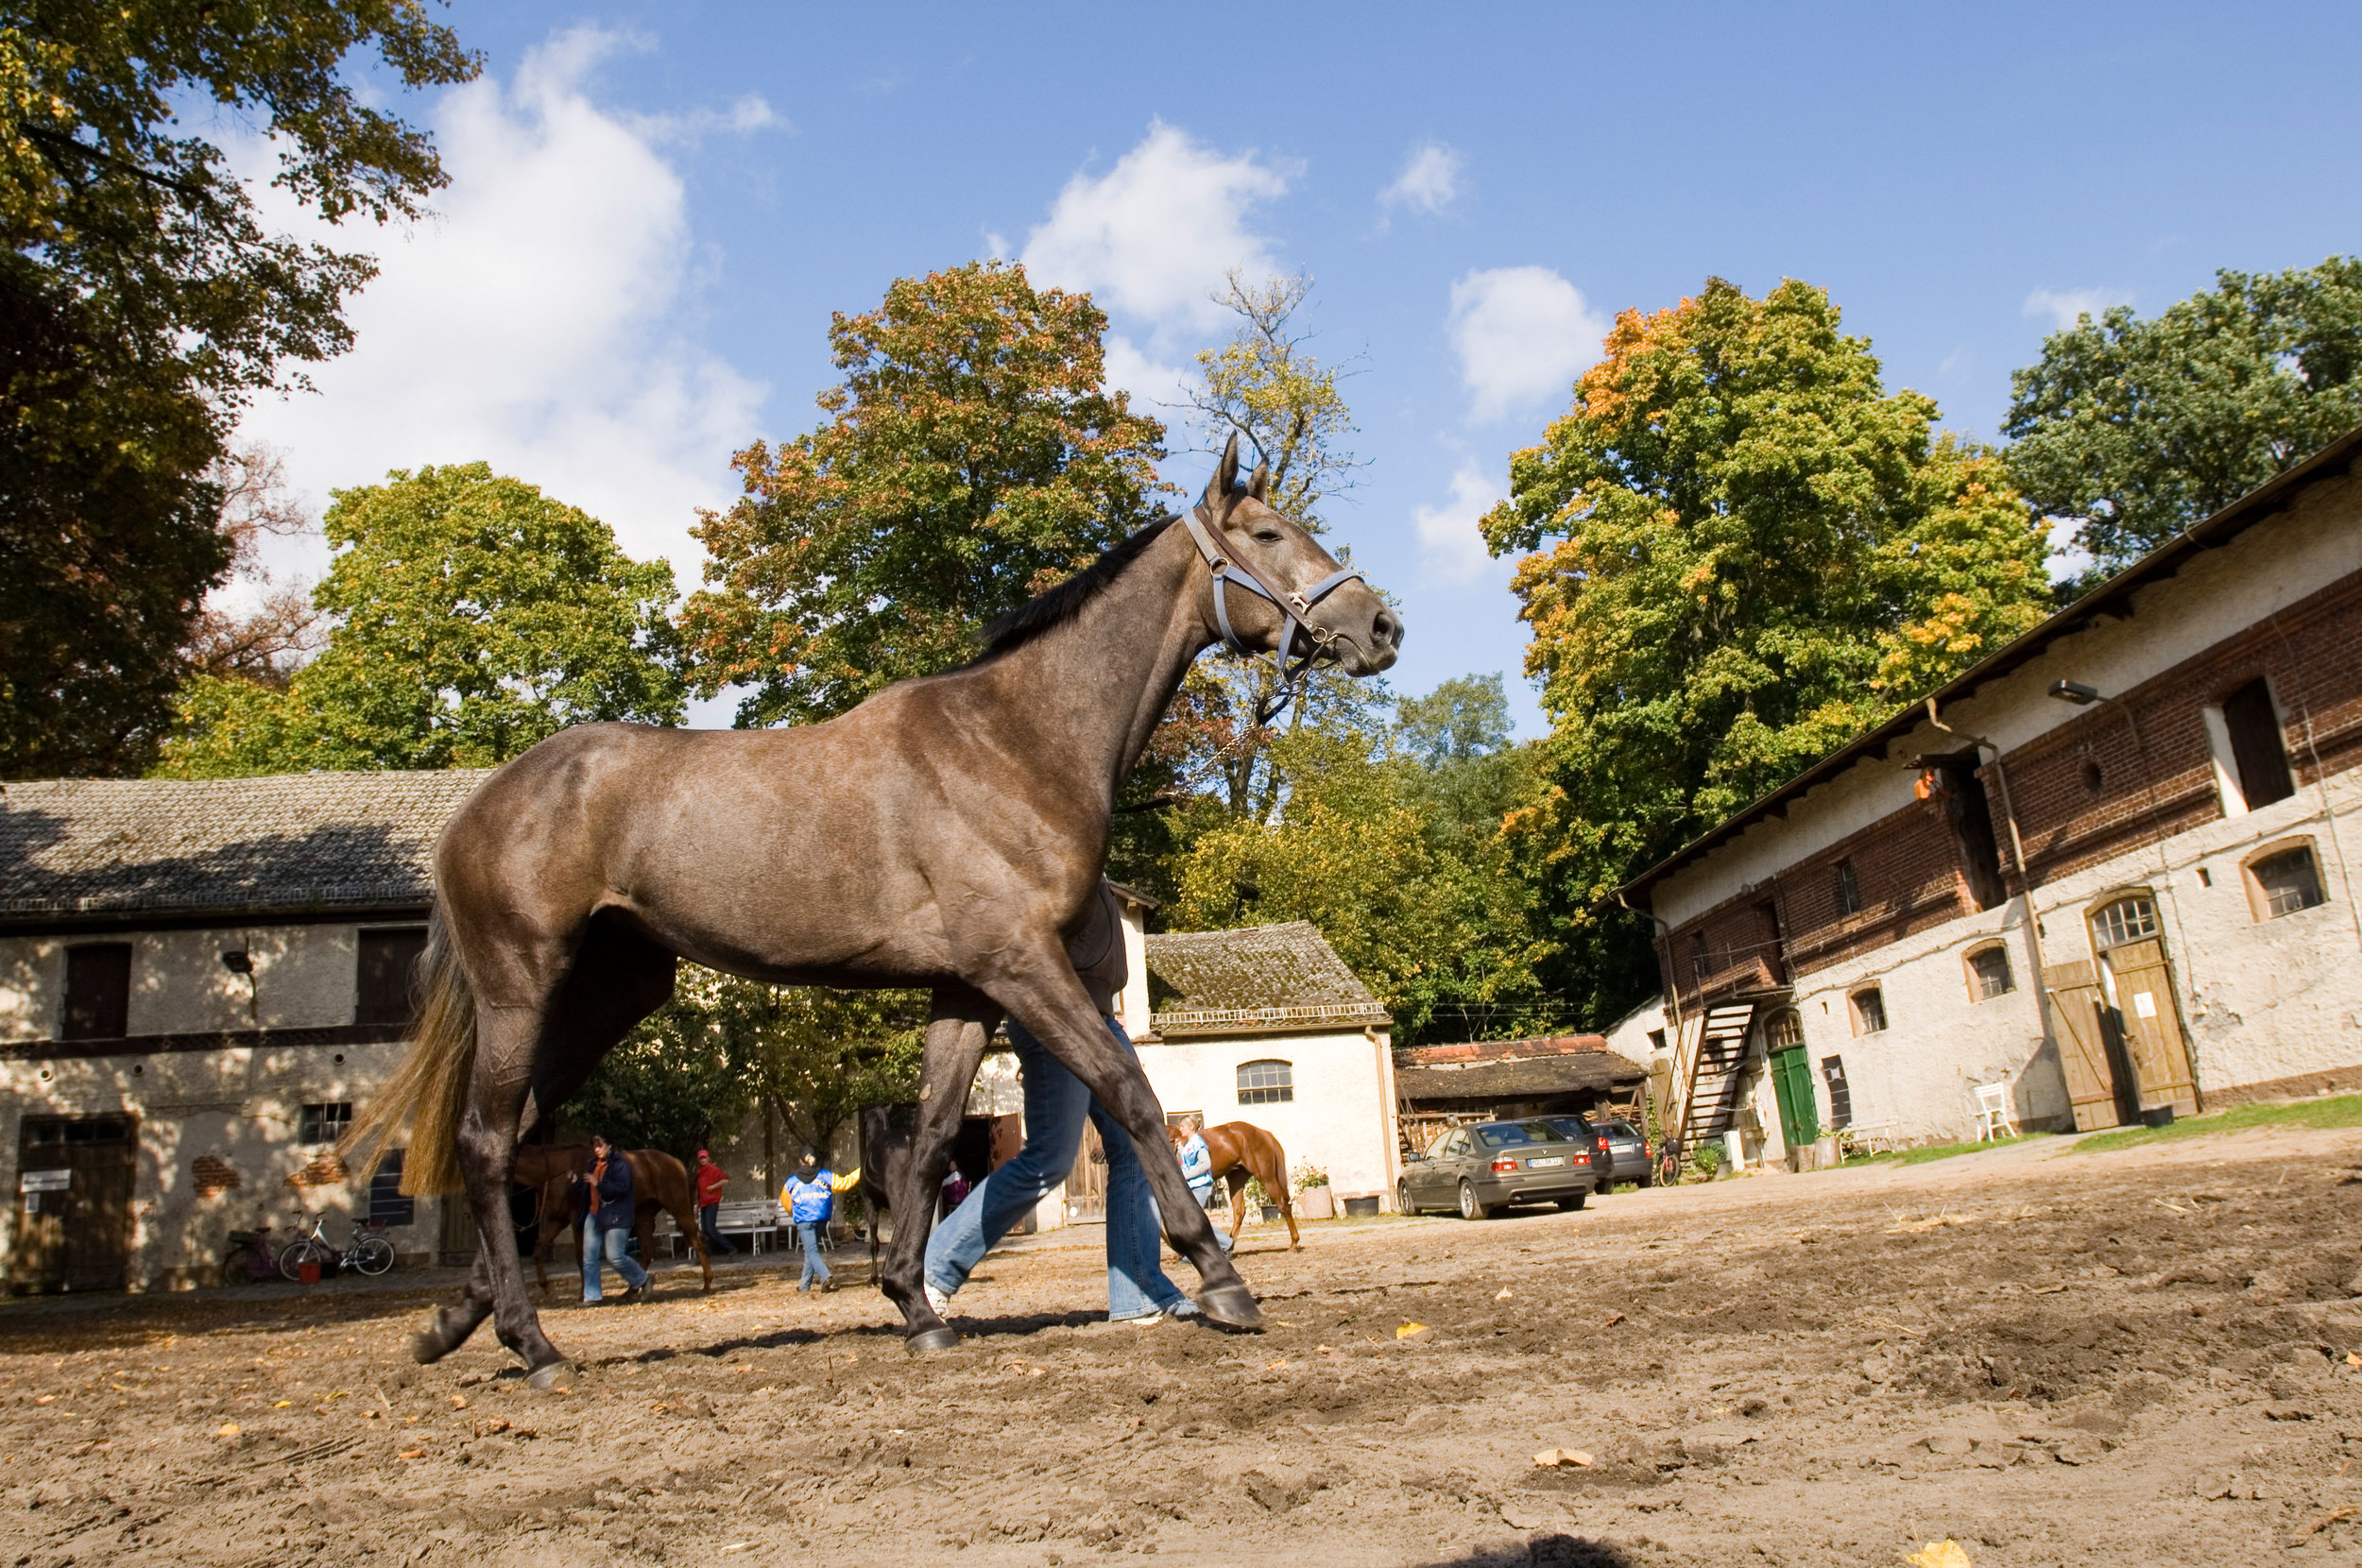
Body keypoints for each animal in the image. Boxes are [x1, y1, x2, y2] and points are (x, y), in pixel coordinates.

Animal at [507, 1148, 709, 1294]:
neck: (556, 1171)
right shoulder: (556, 1221)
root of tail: (677, 1163)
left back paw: (707, 1283)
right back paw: (631, 1290)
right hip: (644, 1214)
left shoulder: (576, 1219)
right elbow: (538, 1247)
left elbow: (580, 1256)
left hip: (679, 1207)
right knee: (646, 1250)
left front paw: (583, 1293)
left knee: (698, 1240)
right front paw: (546, 1286)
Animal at [1167, 1119, 1304, 1256]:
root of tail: (1264, 1134)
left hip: (1267, 1178)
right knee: (1239, 1211)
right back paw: (1228, 1248)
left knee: (1283, 1205)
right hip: (1236, 1180)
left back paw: (1293, 1244)